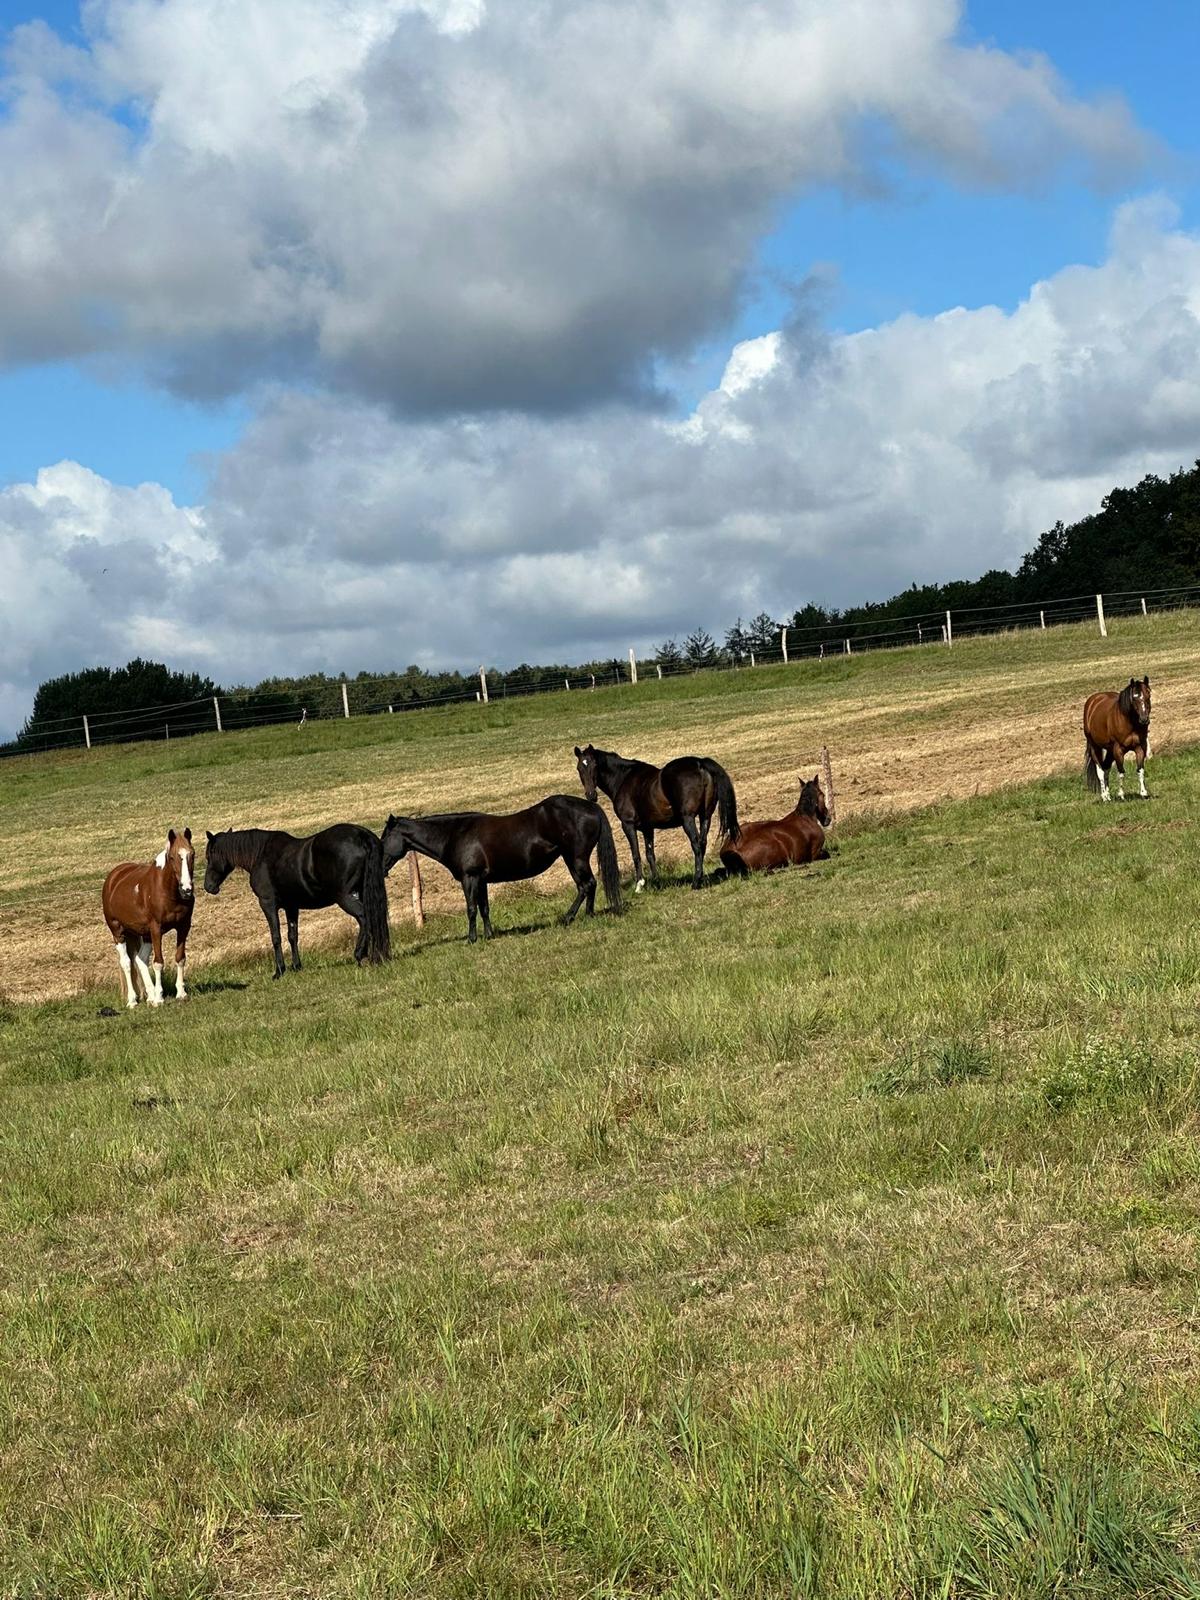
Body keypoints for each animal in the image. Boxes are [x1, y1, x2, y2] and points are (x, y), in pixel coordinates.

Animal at [102, 828, 195, 1008]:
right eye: (172, 857)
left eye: (192, 854)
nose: (187, 889)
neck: (167, 891)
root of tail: (113, 877)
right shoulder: (156, 928)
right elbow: (158, 963)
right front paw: (160, 998)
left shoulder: (183, 926)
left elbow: (180, 958)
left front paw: (181, 993)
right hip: (118, 932)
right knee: (127, 963)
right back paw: (133, 1000)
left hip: (143, 934)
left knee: (140, 959)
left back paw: (149, 996)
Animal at [203, 824, 390, 976]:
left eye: (210, 855)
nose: (208, 886)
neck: (261, 855)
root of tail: (360, 835)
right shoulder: (291, 906)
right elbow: (293, 935)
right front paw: (296, 966)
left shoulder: (268, 904)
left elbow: (276, 936)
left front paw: (279, 971)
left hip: (344, 897)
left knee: (364, 917)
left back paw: (360, 954)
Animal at [380, 795, 622, 943]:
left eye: (384, 838)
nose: (380, 866)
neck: (455, 834)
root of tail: (591, 807)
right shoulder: (481, 880)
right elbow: (484, 908)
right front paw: (489, 935)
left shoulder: (470, 878)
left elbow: (471, 909)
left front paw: (472, 939)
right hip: (571, 859)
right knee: (587, 886)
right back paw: (587, 915)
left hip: (576, 858)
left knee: (587, 885)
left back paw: (569, 918)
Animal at [574, 744, 739, 891]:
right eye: (579, 768)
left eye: (595, 765)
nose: (591, 795)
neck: (623, 779)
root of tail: (699, 763)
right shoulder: (648, 828)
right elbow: (650, 854)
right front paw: (656, 882)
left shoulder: (628, 825)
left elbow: (636, 854)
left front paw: (640, 884)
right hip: (706, 817)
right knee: (703, 843)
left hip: (688, 819)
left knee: (697, 845)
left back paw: (696, 881)